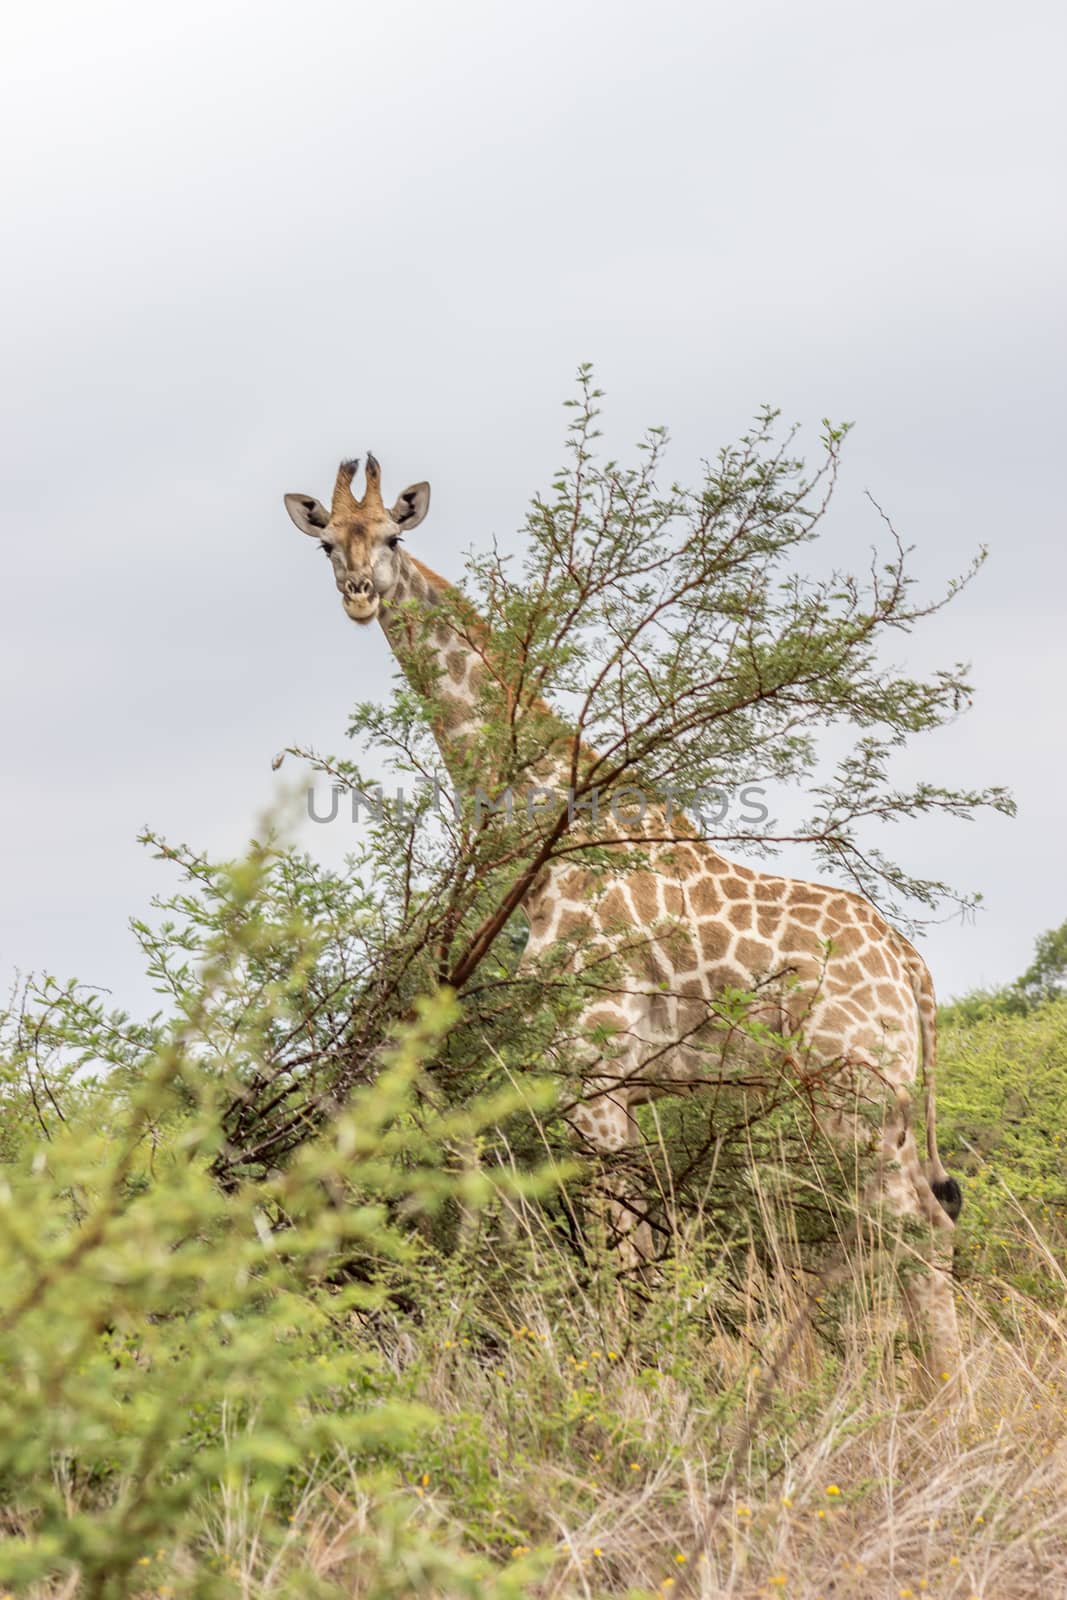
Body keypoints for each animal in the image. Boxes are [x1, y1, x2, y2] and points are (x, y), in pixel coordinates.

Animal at [286, 454, 966, 1388]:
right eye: (327, 544)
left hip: (854, 1093)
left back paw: (944, 1403)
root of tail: (913, 969)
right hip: (880, 1102)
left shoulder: (593, 1079)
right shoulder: (617, 1093)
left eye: (390, 536)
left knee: (915, 1232)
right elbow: (639, 1250)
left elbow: (623, 1262)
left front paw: (640, 1400)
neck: (543, 833)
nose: (357, 593)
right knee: (910, 1229)